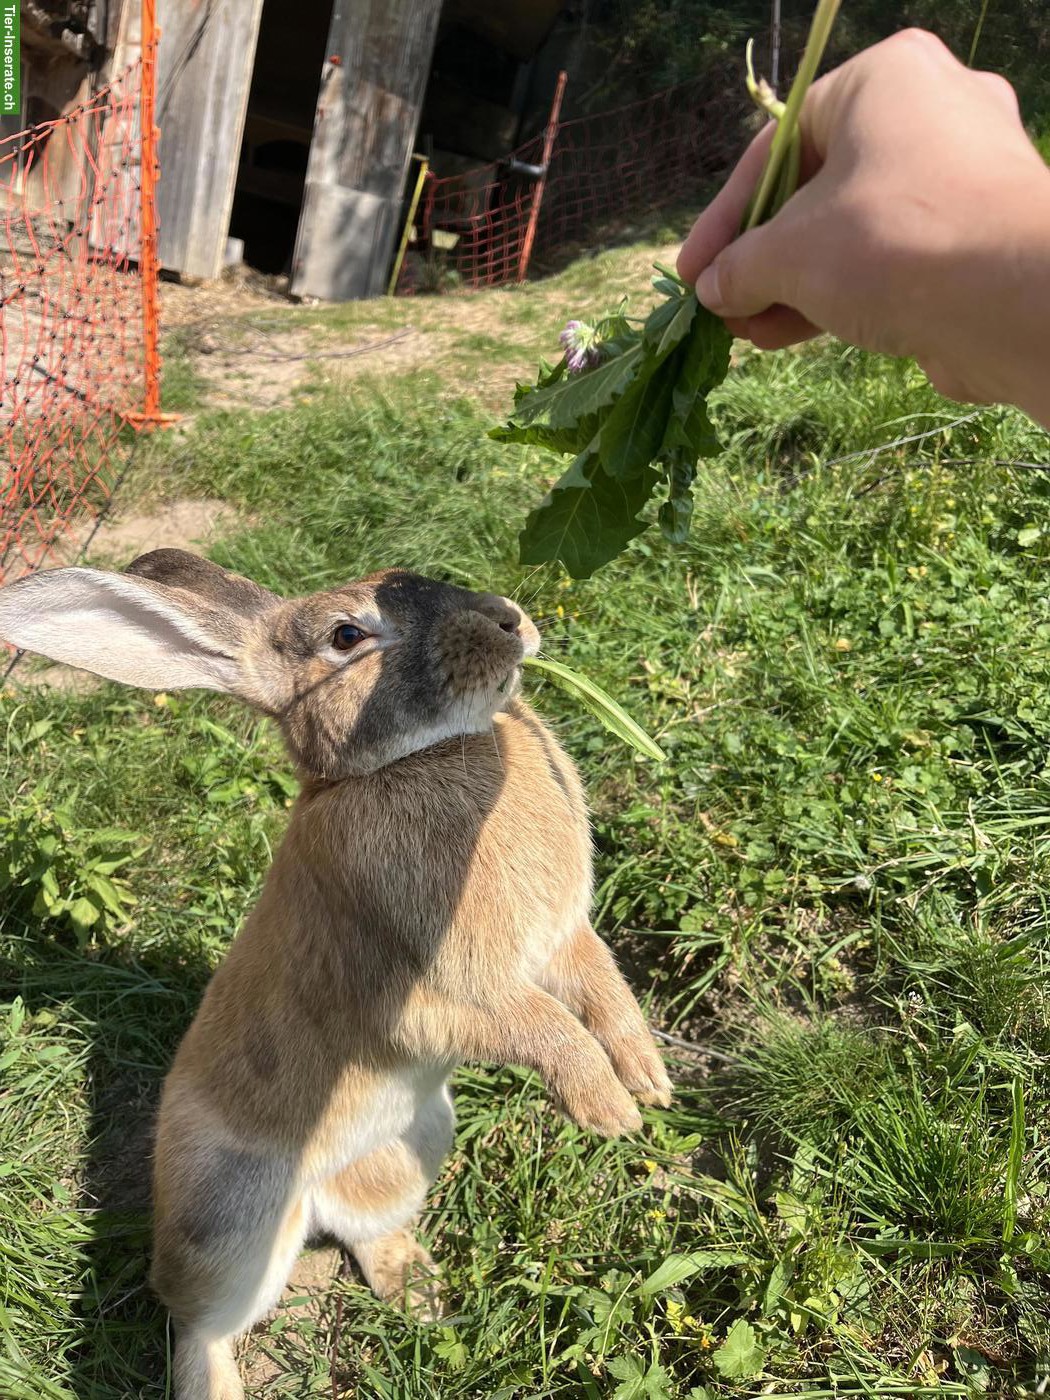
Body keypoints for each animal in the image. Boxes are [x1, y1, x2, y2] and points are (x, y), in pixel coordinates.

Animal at [0, 549, 672, 1400]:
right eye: (347, 636)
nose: (506, 619)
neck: (402, 764)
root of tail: (312, 1192)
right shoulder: (440, 997)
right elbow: (548, 1028)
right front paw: (611, 1113)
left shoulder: (561, 941)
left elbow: (602, 992)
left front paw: (649, 1082)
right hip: (228, 1218)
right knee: (198, 1320)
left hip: (417, 1138)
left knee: (364, 1226)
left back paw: (420, 1294)